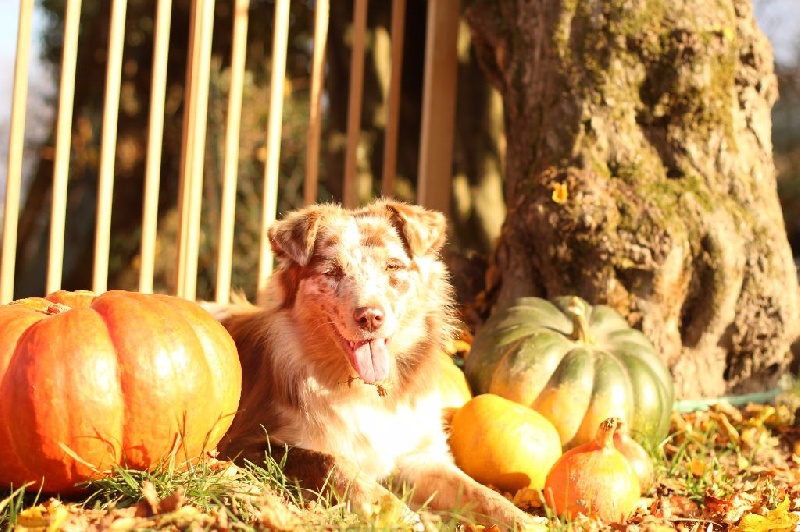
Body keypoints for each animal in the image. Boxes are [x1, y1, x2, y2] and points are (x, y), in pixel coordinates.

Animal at [216, 200, 536, 528]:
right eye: (332, 272)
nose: (370, 317)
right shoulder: (246, 444)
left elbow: (481, 493)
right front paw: (400, 516)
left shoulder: (419, 455)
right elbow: (330, 462)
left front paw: (529, 521)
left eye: (392, 267)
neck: (364, 389)